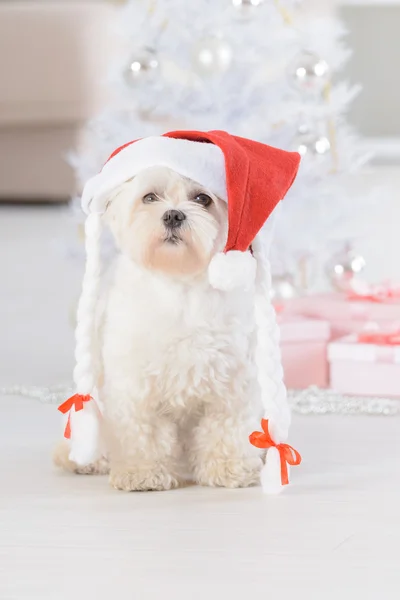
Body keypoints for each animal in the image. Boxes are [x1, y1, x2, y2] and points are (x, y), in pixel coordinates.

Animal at [54, 166, 264, 490]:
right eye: (149, 197)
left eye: (203, 199)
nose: (173, 215)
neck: (178, 282)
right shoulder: (134, 382)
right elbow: (143, 431)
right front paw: (142, 472)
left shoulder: (231, 378)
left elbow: (225, 425)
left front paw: (229, 468)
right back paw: (90, 460)